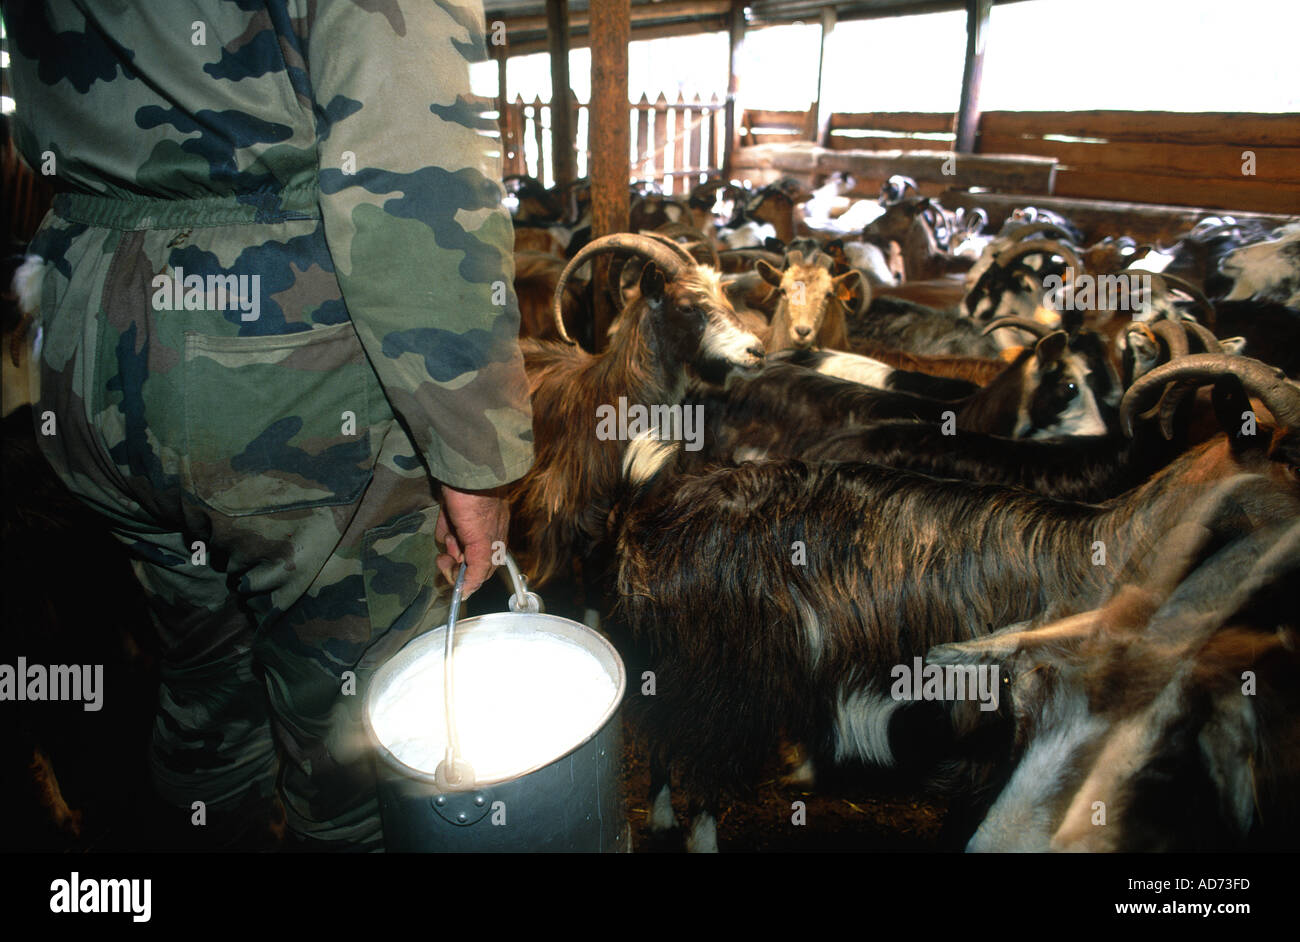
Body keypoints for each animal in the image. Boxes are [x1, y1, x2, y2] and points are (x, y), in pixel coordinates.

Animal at [611, 353, 1300, 852]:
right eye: (1294, 459)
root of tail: (657, 504)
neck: (1116, 547)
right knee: (702, 775)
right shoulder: (1001, 738)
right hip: (725, 681)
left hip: (672, 664)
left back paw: (664, 817)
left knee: (662, 740)